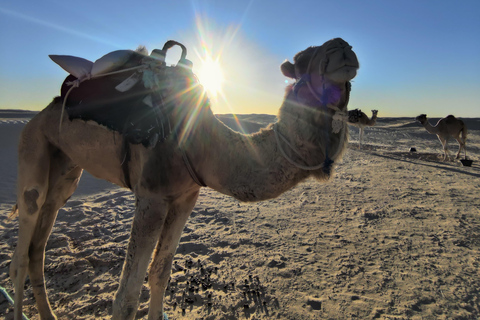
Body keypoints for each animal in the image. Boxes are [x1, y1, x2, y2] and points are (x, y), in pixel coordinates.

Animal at [9, 38, 358, 320]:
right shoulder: (151, 197)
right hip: (33, 144)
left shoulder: (185, 198)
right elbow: (126, 297)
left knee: (39, 241)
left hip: (66, 166)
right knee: (23, 241)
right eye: (303, 60)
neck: (200, 144)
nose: (343, 47)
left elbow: (160, 275)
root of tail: (49, 106)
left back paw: (49, 314)